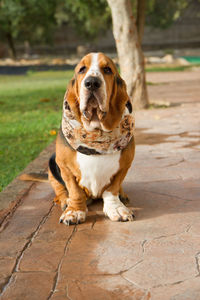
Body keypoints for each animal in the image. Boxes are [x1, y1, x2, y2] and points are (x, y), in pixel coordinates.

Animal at [21, 52, 135, 224]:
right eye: (82, 69)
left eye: (107, 69)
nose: (92, 83)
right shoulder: (64, 168)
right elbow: (75, 191)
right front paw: (74, 211)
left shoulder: (125, 166)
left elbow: (112, 190)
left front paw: (116, 208)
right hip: (51, 164)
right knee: (60, 190)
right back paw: (63, 200)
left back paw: (123, 195)